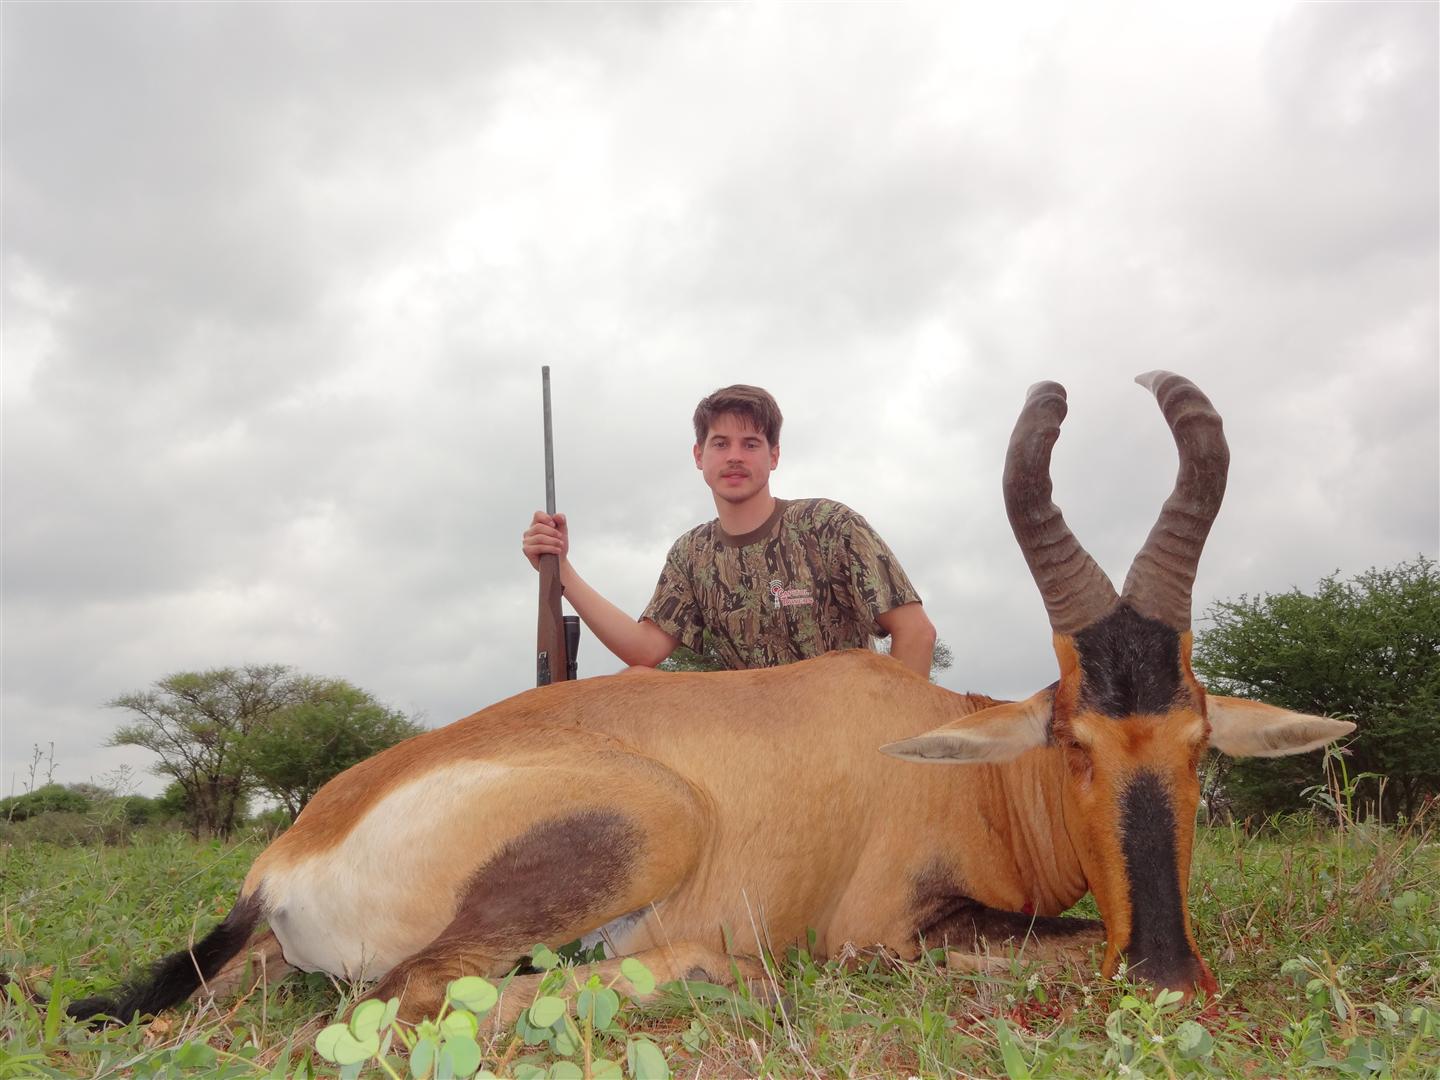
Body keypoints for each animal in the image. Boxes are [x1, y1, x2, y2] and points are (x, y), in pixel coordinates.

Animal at [70, 371, 1352, 1029]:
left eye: (1198, 742)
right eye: (1072, 738)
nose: (1168, 978)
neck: (934, 753)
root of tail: (286, 854)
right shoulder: (884, 933)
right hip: (644, 830)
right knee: (405, 1001)